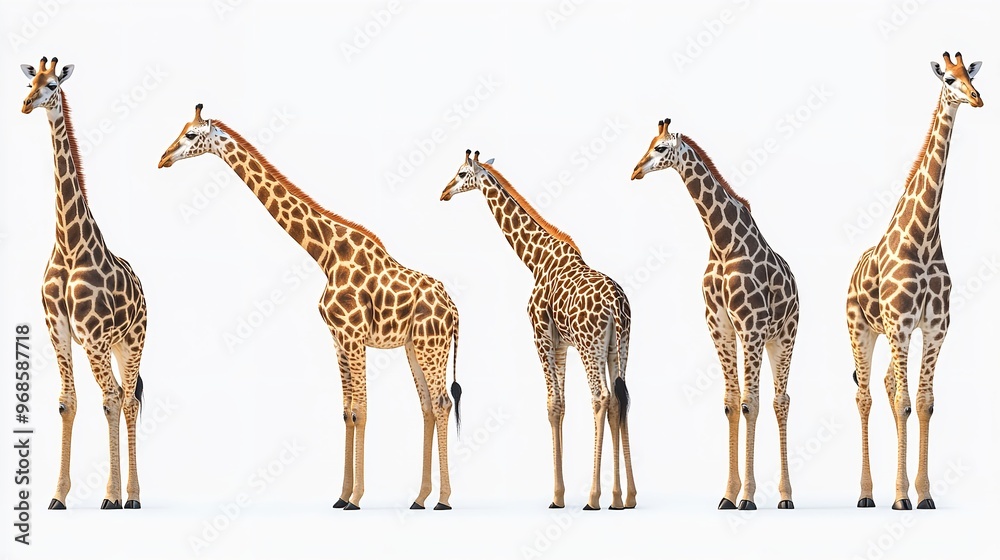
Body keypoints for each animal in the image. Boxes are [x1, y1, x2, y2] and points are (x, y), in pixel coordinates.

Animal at [20, 57, 147, 510]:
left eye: (52, 85)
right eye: (30, 82)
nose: (25, 104)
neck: (69, 244)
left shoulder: (91, 334)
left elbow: (108, 401)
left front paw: (110, 496)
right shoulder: (57, 328)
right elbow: (66, 403)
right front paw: (57, 496)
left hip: (132, 341)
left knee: (126, 399)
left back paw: (131, 496)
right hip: (113, 346)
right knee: (126, 396)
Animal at [158, 104, 462, 510]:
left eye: (191, 135)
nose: (162, 158)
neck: (326, 254)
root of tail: (454, 309)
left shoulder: (353, 334)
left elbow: (362, 410)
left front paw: (357, 498)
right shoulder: (337, 338)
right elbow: (347, 411)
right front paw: (342, 496)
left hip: (432, 344)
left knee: (442, 403)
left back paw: (443, 499)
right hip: (415, 345)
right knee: (427, 405)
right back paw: (419, 497)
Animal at [441, 150, 635, 510]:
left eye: (461, 173)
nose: (444, 192)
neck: (536, 260)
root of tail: (617, 305)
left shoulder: (541, 336)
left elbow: (552, 404)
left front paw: (557, 496)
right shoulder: (561, 344)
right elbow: (562, 404)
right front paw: (561, 493)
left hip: (591, 346)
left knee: (601, 397)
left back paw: (593, 497)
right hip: (620, 347)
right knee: (619, 400)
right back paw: (623, 497)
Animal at [631, 120, 799, 510]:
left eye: (661, 148)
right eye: (647, 143)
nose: (635, 171)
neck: (723, 244)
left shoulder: (750, 326)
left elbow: (751, 403)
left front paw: (749, 497)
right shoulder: (719, 327)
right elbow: (731, 403)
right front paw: (728, 494)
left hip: (784, 337)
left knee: (780, 401)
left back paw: (786, 496)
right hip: (767, 340)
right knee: (774, 400)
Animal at [847, 52, 982, 510]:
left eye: (970, 74)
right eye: (948, 79)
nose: (976, 98)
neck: (922, 238)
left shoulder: (936, 327)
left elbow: (923, 402)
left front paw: (922, 495)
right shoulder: (901, 325)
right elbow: (906, 401)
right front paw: (900, 497)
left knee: (889, 385)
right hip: (862, 330)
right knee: (867, 395)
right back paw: (867, 494)